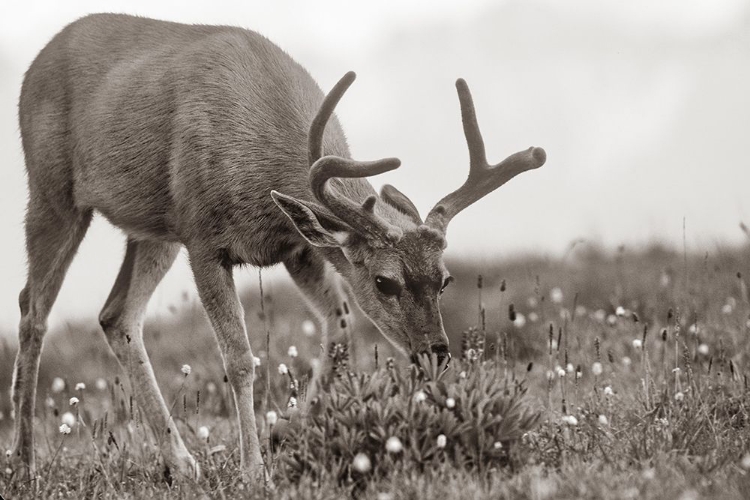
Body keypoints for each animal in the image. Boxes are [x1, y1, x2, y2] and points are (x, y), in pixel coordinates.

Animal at [7, 12, 548, 484]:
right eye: (384, 281)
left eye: (446, 278)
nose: (437, 354)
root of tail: (38, 60)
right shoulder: (203, 238)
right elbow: (240, 360)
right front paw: (253, 471)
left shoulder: (298, 247)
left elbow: (340, 329)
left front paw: (292, 432)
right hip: (53, 191)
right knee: (32, 311)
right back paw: (24, 463)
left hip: (154, 229)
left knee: (116, 315)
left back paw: (181, 462)